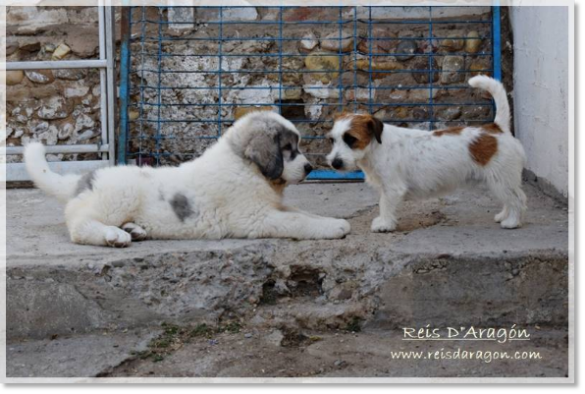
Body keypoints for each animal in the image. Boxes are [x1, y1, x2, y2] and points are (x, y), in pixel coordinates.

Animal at [25, 111, 350, 246]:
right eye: (288, 149)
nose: (309, 167)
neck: (246, 166)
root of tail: (83, 179)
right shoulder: (257, 217)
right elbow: (297, 221)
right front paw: (333, 228)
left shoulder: (274, 206)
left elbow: (302, 212)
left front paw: (334, 221)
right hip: (117, 198)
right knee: (80, 226)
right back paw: (115, 235)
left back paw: (135, 229)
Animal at [326, 75, 528, 232]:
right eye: (332, 140)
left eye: (351, 139)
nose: (334, 163)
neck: (377, 147)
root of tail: (497, 128)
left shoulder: (392, 188)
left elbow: (385, 205)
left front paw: (384, 224)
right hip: (500, 181)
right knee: (510, 199)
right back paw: (503, 216)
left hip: (501, 179)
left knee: (517, 198)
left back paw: (511, 222)